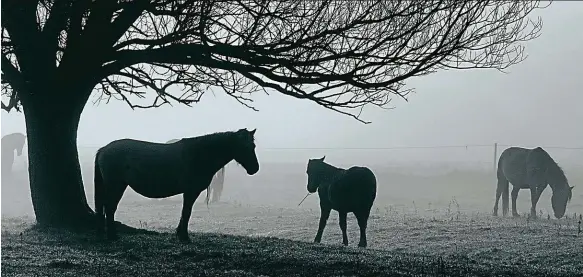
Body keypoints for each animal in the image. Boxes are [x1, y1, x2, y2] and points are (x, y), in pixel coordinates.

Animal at [94, 128, 258, 240]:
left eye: (253, 146)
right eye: (246, 147)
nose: (255, 169)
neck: (199, 154)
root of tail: (103, 149)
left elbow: (185, 212)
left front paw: (180, 234)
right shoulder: (191, 191)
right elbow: (186, 212)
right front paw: (184, 237)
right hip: (115, 185)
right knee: (109, 207)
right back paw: (112, 236)